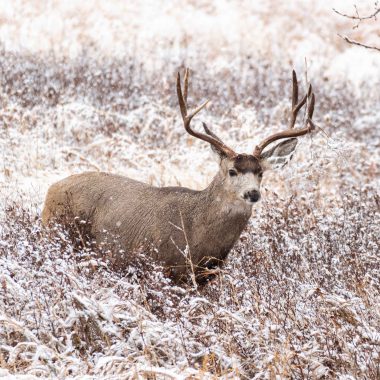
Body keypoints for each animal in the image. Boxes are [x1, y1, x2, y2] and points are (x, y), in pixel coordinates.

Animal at [41, 69, 316, 282]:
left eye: (260, 173)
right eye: (232, 171)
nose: (253, 193)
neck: (196, 233)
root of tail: (51, 189)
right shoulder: (157, 265)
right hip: (56, 233)